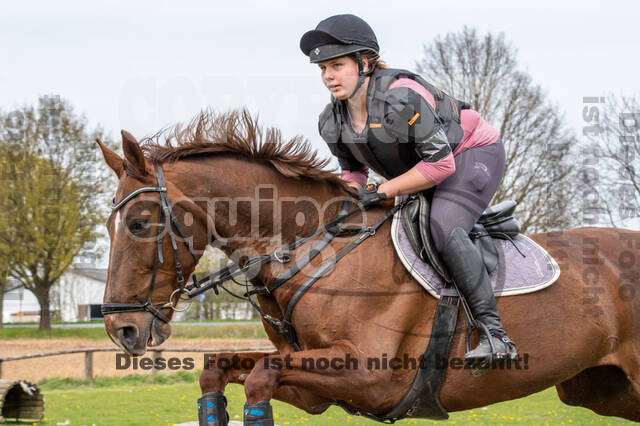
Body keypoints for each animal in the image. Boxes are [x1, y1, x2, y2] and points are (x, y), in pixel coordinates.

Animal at [97, 110, 640, 422]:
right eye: (107, 225)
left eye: (139, 223)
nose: (122, 329)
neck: (317, 249)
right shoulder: (316, 387)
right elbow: (219, 369)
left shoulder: (370, 376)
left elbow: (261, 377)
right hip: (600, 389)